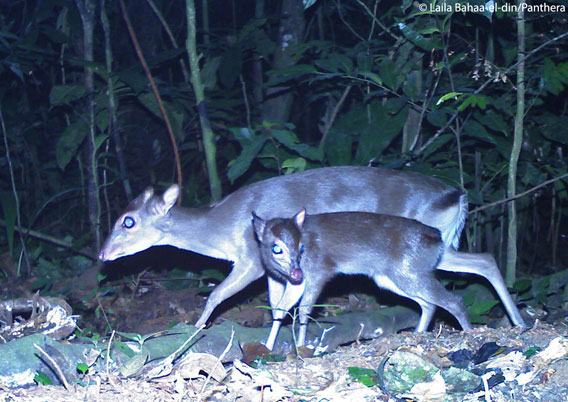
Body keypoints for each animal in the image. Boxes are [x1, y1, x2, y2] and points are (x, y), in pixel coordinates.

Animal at [251, 209, 524, 348]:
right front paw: (267, 347)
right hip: (399, 274)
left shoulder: (320, 269)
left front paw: (302, 348)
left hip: (407, 271)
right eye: (276, 247)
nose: (296, 272)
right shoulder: (295, 281)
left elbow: (305, 309)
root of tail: (437, 237)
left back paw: (472, 332)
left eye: (301, 248)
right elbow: (280, 309)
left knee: (452, 299)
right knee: (480, 263)